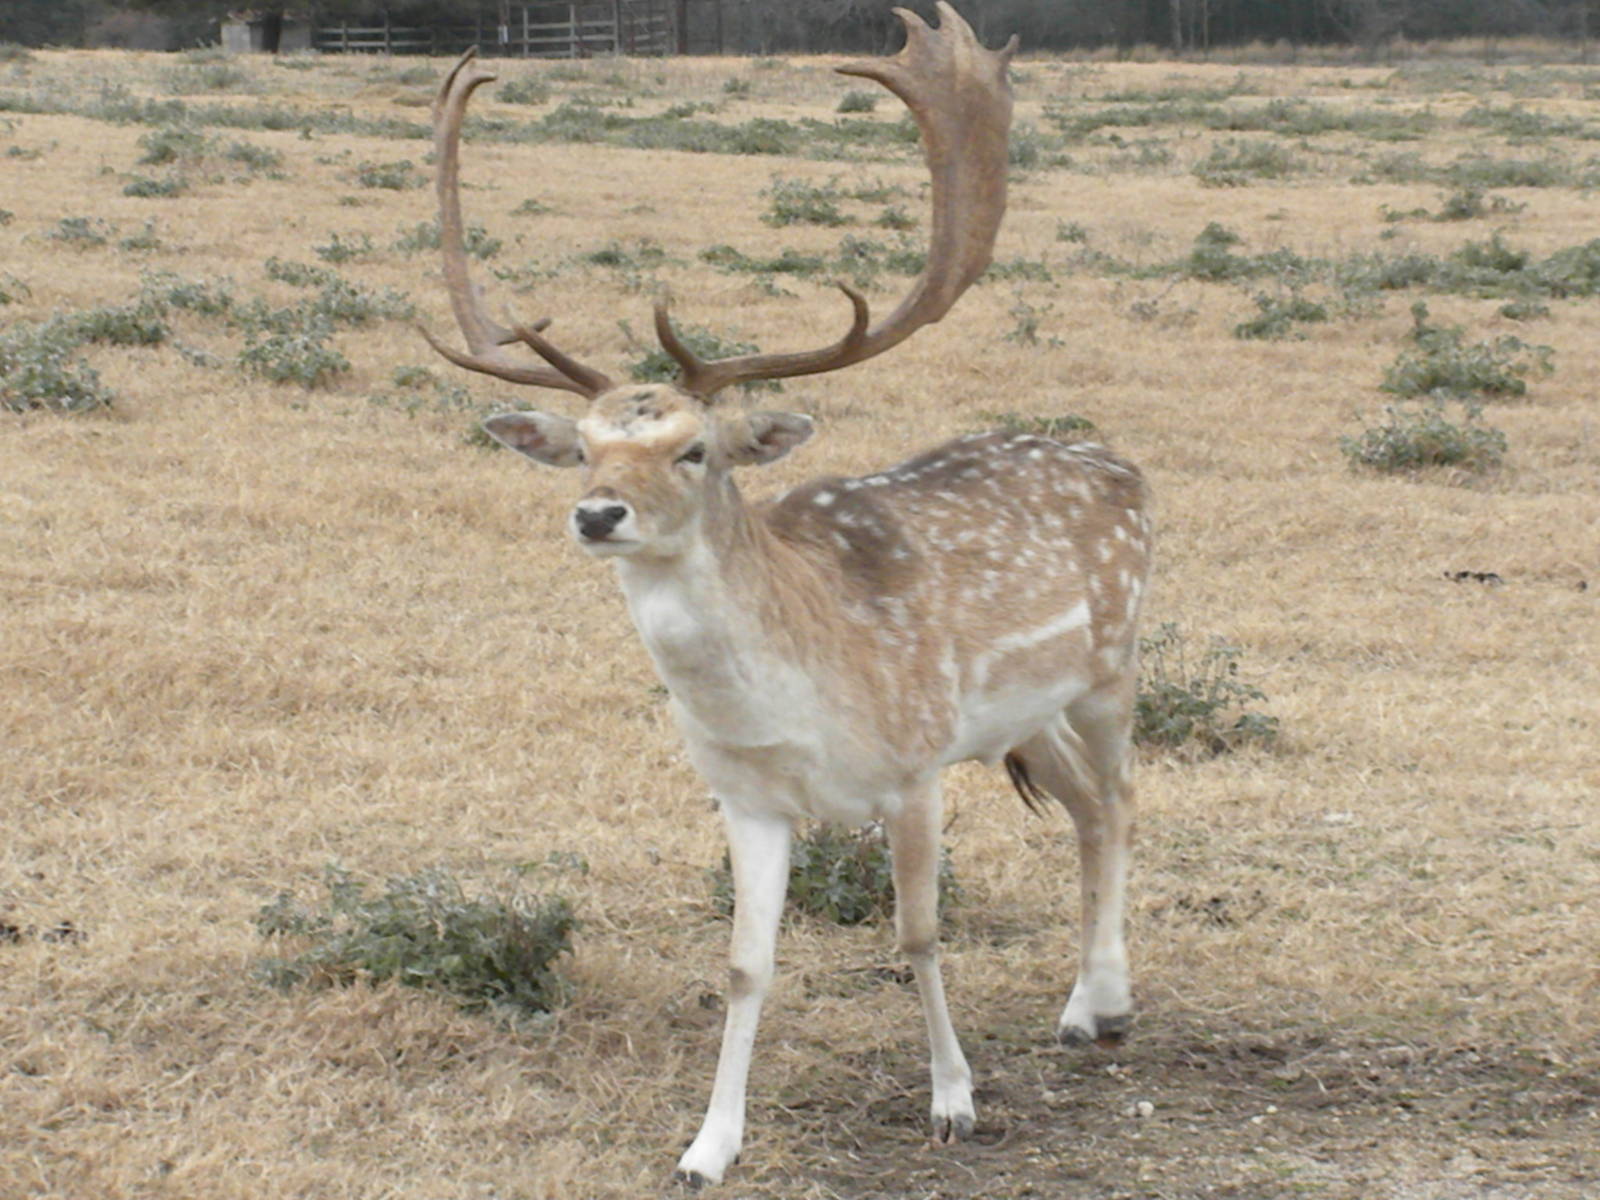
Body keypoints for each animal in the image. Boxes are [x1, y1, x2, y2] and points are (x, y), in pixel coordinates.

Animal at [423, 5, 1151, 1186]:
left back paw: (1110, 1003)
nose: (596, 514)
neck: (794, 706)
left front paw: (954, 1101)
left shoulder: (913, 766)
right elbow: (742, 964)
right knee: (1087, 808)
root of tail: (1123, 464)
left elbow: (916, 934)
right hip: (1021, 718)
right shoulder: (745, 797)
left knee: (1124, 799)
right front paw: (707, 1147)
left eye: (694, 449)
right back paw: (1084, 1006)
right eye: (584, 448)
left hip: (1113, 663)